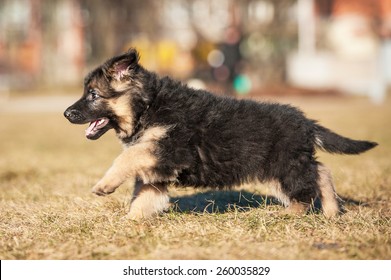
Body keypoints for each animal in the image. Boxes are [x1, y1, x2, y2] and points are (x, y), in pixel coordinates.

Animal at [64, 48, 376, 219]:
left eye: (93, 95)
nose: (66, 114)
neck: (148, 106)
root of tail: (306, 122)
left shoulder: (169, 149)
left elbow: (126, 159)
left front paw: (104, 185)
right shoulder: (158, 165)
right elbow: (144, 195)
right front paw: (131, 222)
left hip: (283, 165)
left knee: (307, 187)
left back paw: (291, 214)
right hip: (287, 164)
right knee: (321, 171)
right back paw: (332, 211)